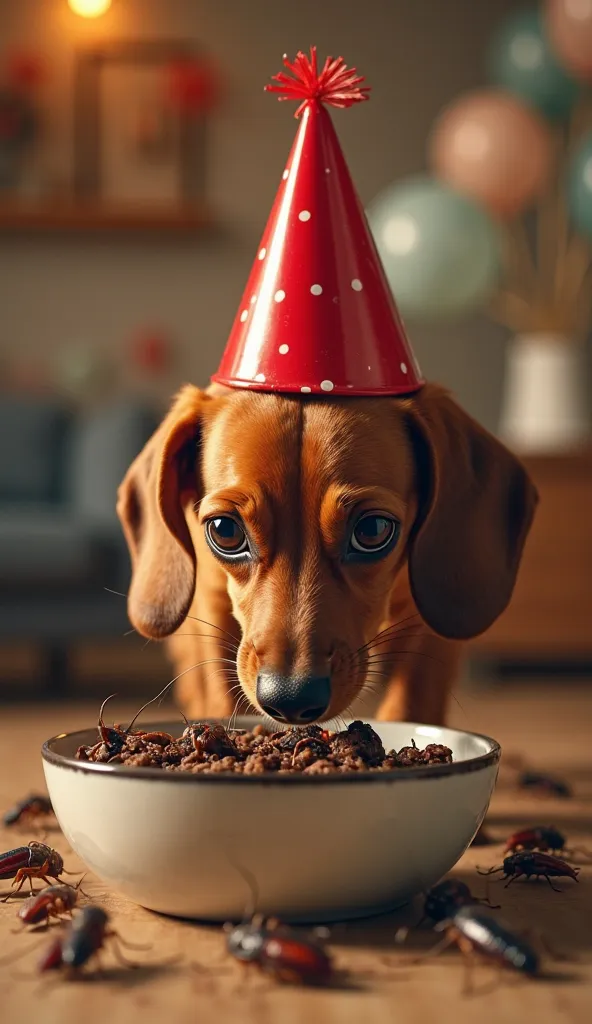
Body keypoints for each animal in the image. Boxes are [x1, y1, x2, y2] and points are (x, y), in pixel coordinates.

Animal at [115, 385, 532, 729]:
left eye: (373, 529)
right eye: (224, 530)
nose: (290, 699)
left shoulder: (429, 631)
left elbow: (411, 704)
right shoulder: (212, 608)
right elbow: (219, 691)